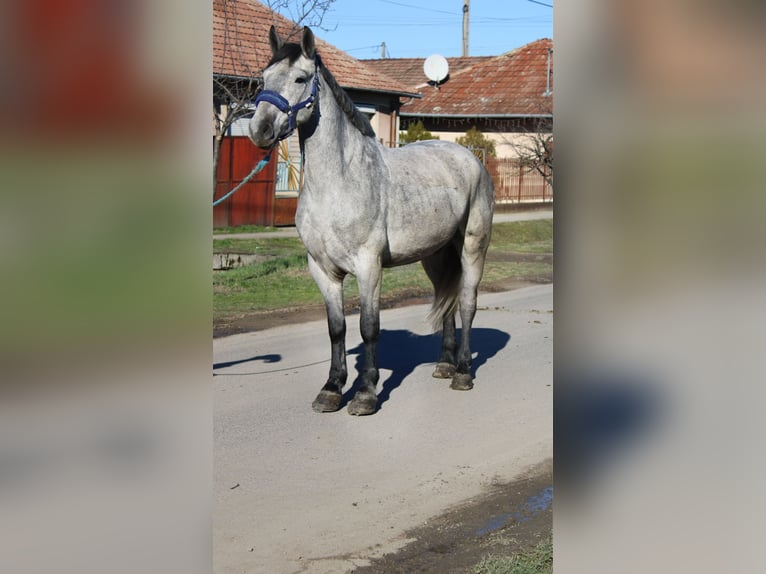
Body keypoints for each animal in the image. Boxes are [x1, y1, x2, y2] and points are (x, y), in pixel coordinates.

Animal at [249, 26, 495, 415]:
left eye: (300, 78)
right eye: (264, 77)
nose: (259, 129)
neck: (339, 182)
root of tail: (468, 157)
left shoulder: (368, 266)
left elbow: (368, 326)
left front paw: (365, 393)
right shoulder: (322, 269)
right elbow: (336, 328)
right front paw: (331, 389)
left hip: (473, 248)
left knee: (468, 303)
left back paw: (463, 373)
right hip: (436, 256)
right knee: (448, 302)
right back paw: (444, 365)